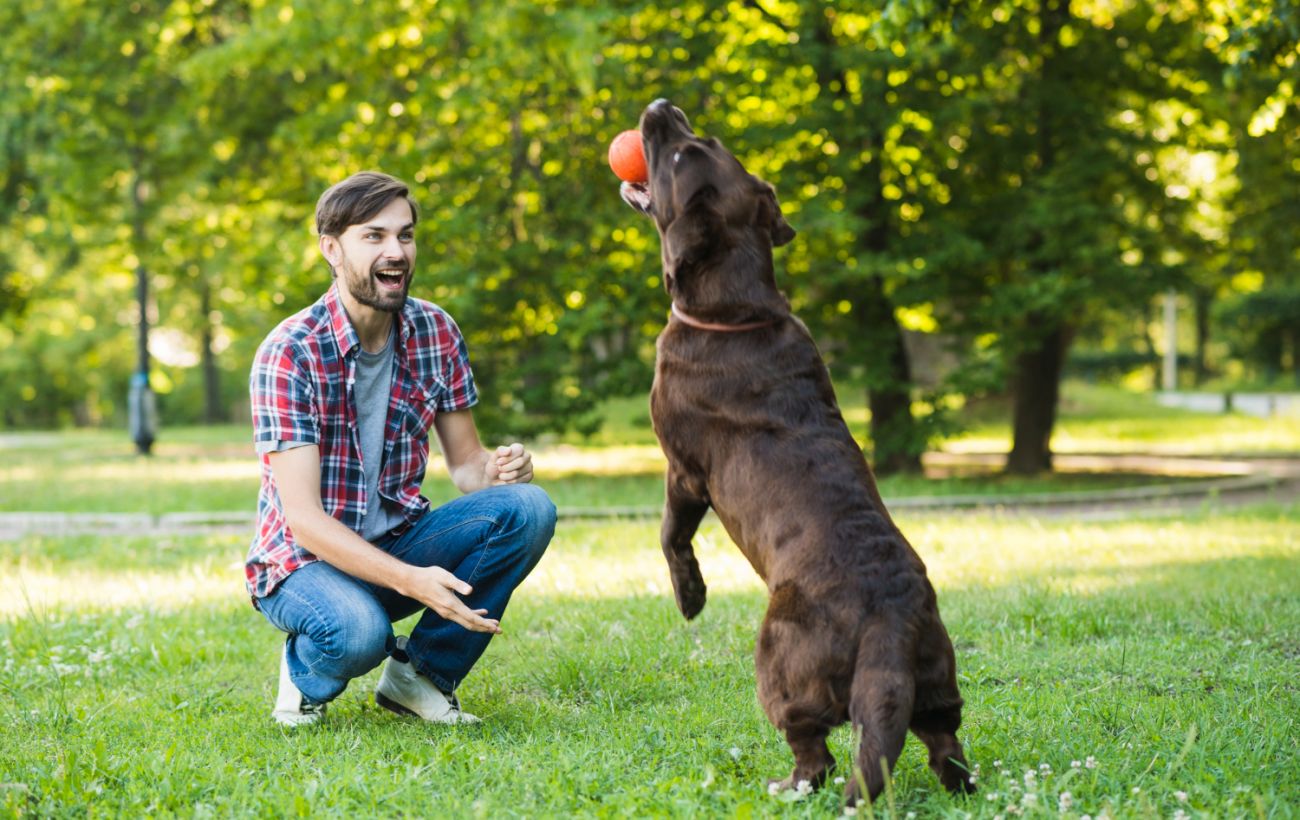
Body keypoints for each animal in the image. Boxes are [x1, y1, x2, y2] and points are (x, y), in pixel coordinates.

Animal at [618, 98, 977, 810]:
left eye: (680, 153)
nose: (662, 106)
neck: (736, 309)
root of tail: (891, 619)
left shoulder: (684, 471)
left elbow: (671, 535)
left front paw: (690, 598)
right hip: (937, 678)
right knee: (942, 742)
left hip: (779, 659)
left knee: (816, 751)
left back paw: (787, 785)